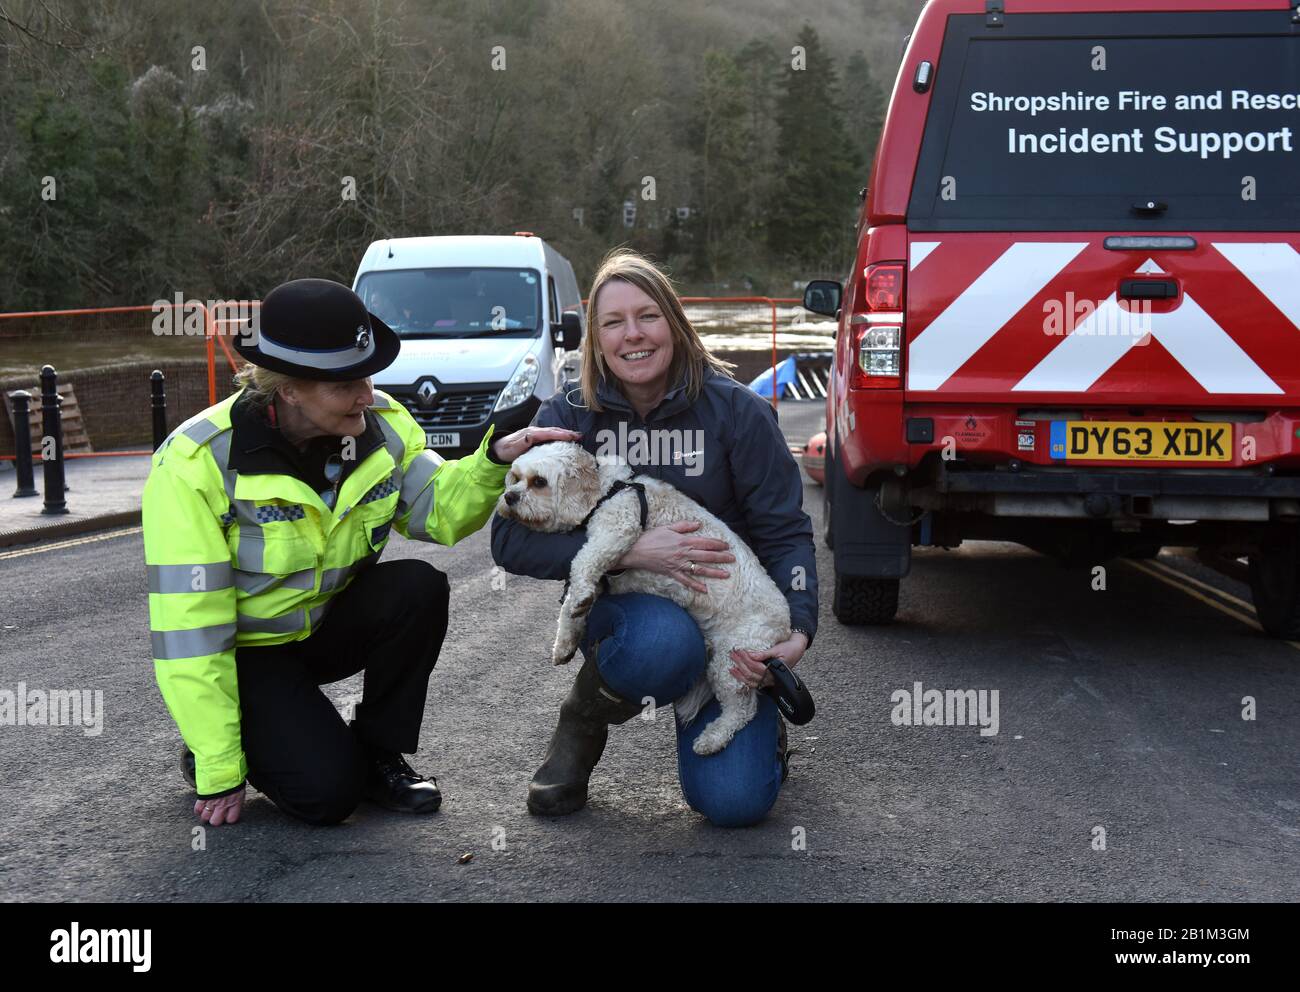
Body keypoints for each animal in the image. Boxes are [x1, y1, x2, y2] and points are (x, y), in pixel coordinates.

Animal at [496, 442, 790, 754]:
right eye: (515, 478)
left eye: (539, 482)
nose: (509, 497)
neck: (608, 491)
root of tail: (784, 628)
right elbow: (578, 600)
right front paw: (566, 640)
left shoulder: (616, 531)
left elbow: (581, 568)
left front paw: (575, 607)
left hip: (732, 660)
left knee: (743, 709)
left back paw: (713, 738)